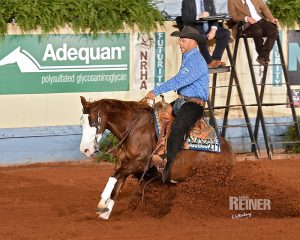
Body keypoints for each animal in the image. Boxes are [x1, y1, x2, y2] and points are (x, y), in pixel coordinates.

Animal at [80, 95, 237, 219]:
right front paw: (105, 212)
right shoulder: (122, 163)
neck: (133, 130)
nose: (85, 150)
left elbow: (116, 176)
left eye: (92, 122)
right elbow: (116, 184)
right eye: (82, 122)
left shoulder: (140, 164)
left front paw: (101, 205)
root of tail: (229, 152)